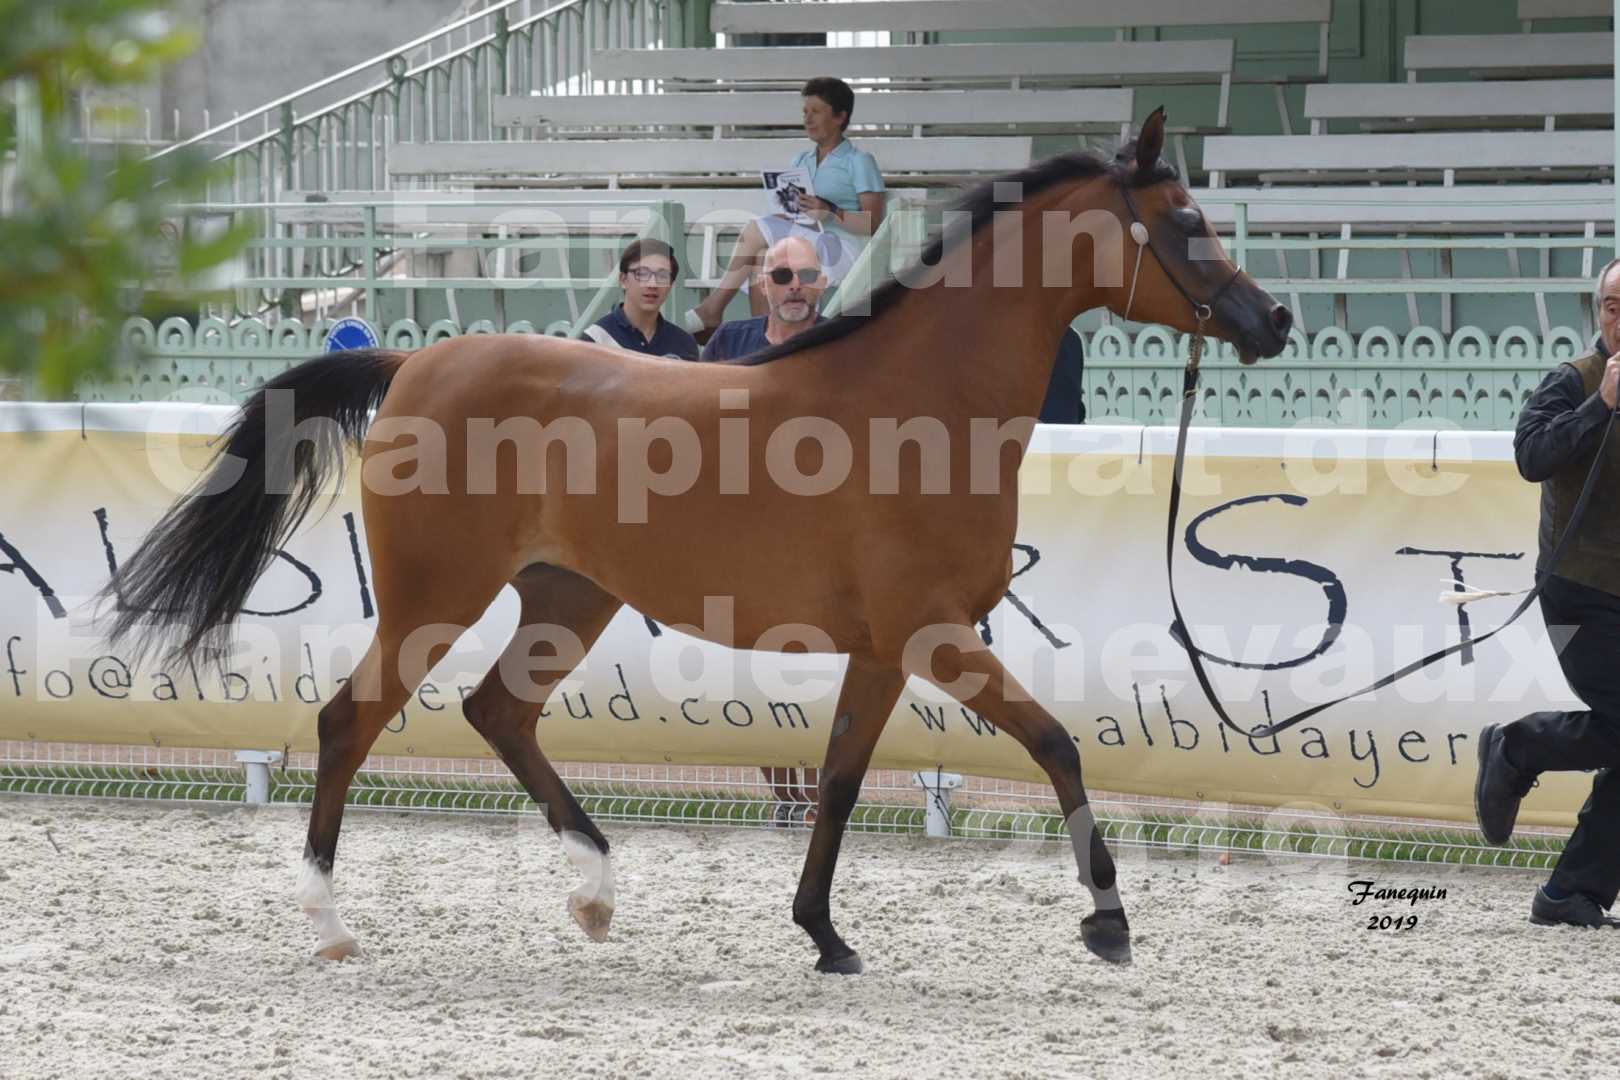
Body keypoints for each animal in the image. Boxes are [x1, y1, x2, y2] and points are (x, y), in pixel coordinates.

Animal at [104, 110, 1289, 971]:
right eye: (1185, 219)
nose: (1272, 320)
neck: (920, 402)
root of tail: (412, 363)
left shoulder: (882, 649)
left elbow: (841, 780)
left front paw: (824, 934)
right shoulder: (935, 634)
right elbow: (1055, 743)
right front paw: (1108, 922)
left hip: (566, 597)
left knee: (499, 712)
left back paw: (594, 893)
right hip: (433, 600)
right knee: (349, 721)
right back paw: (332, 923)